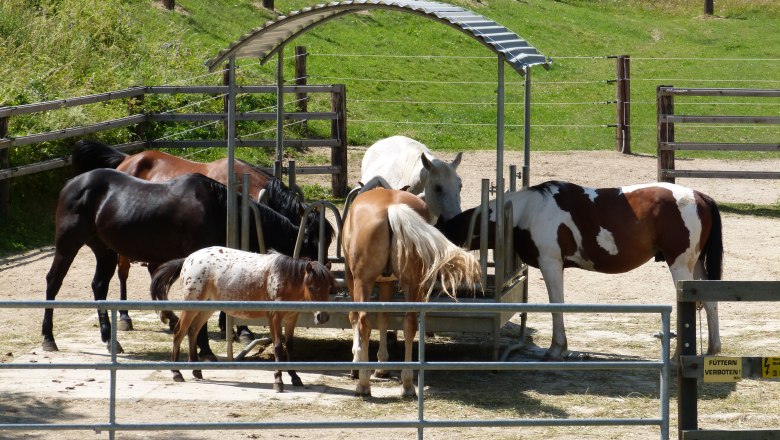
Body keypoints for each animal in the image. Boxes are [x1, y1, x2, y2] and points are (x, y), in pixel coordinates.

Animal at [43, 168, 330, 358]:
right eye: (313, 245)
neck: (218, 209)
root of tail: (72, 184)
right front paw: (205, 349)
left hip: (104, 250)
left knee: (99, 286)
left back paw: (109, 340)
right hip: (68, 245)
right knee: (53, 282)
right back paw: (49, 338)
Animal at [68, 139, 334, 336]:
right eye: (311, 242)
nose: (323, 275)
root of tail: (126, 159)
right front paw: (240, 329)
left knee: (153, 270)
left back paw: (166, 315)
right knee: (123, 272)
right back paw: (125, 316)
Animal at [149, 248, 336, 392]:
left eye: (329, 287)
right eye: (311, 287)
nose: (323, 316)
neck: (283, 278)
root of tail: (189, 259)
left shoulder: (291, 318)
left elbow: (289, 346)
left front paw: (295, 377)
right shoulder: (274, 317)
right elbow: (277, 346)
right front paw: (278, 381)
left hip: (207, 308)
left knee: (193, 331)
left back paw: (196, 371)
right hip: (191, 305)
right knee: (179, 331)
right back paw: (176, 373)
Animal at [342, 187, 482, 398]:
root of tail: (392, 208)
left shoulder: (352, 278)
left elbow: (354, 317)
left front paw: (357, 361)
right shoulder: (388, 283)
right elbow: (384, 318)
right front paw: (382, 365)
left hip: (363, 281)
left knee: (364, 321)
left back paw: (364, 384)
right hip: (413, 283)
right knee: (409, 323)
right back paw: (407, 383)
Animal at [436, 180, 724, 360]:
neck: (528, 211)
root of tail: (700, 196)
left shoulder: (551, 263)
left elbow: (556, 305)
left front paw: (556, 349)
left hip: (680, 266)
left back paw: (678, 356)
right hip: (695, 266)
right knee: (710, 302)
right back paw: (711, 349)